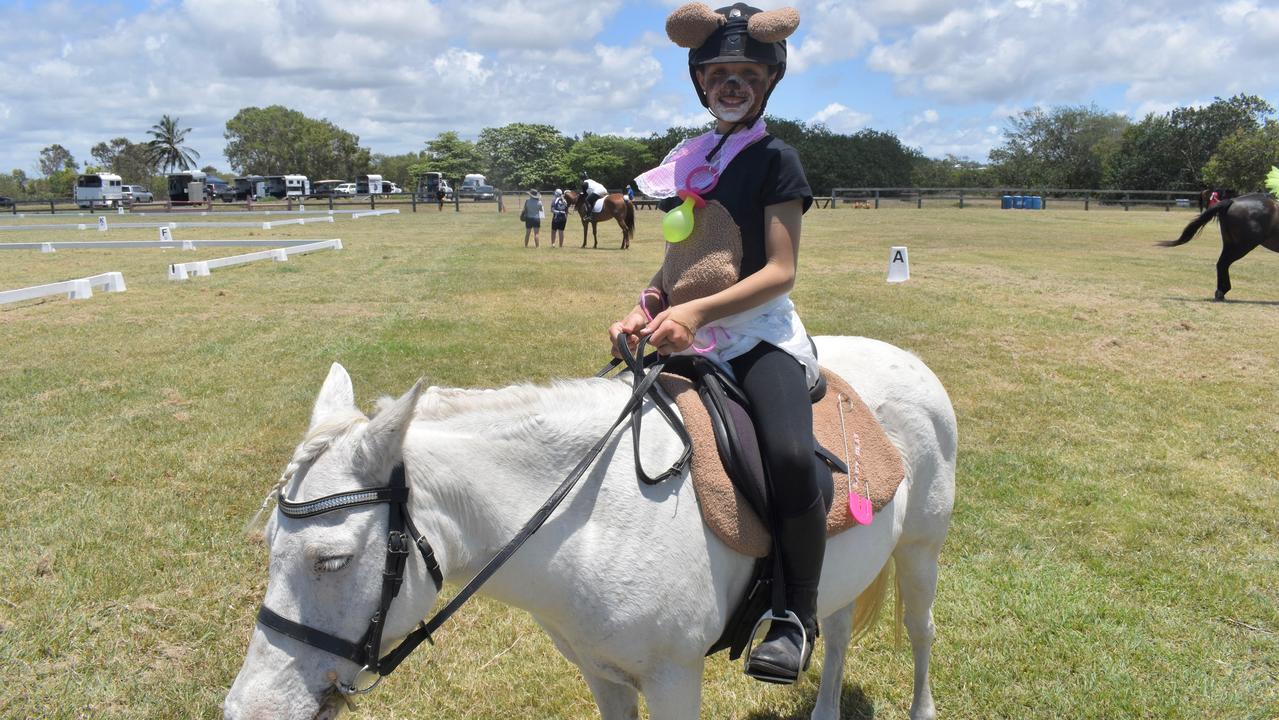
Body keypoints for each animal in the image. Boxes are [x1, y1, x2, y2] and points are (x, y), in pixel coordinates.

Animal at [225, 337, 956, 720]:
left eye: (332, 560)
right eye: (269, 548)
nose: (248, 710)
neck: (591, 525)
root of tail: (907, 359)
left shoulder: (673, 679)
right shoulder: (602, 676)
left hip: (921, 547)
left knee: (920, 630)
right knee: (835, 628)